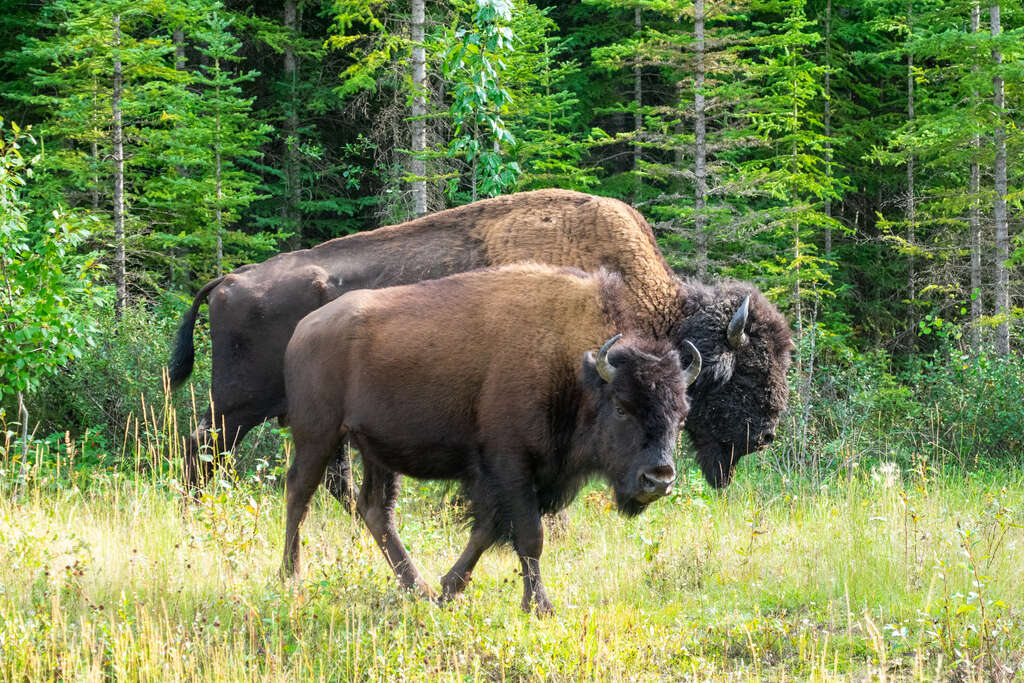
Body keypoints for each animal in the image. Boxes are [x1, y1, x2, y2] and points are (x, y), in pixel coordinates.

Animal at [278, 264, 704, 614]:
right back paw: (290, 575)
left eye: (682, 415)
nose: (659, 479)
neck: (573, 367)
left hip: (376, 451)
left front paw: (448, 589)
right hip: (318, 434)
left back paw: (417, 588)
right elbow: (531, 536)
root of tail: (303, 329)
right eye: (621, 407)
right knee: (300, 492)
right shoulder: (510, 465)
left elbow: (487, 530)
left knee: (376, 509)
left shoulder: (508, 479)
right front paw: (539, 607)